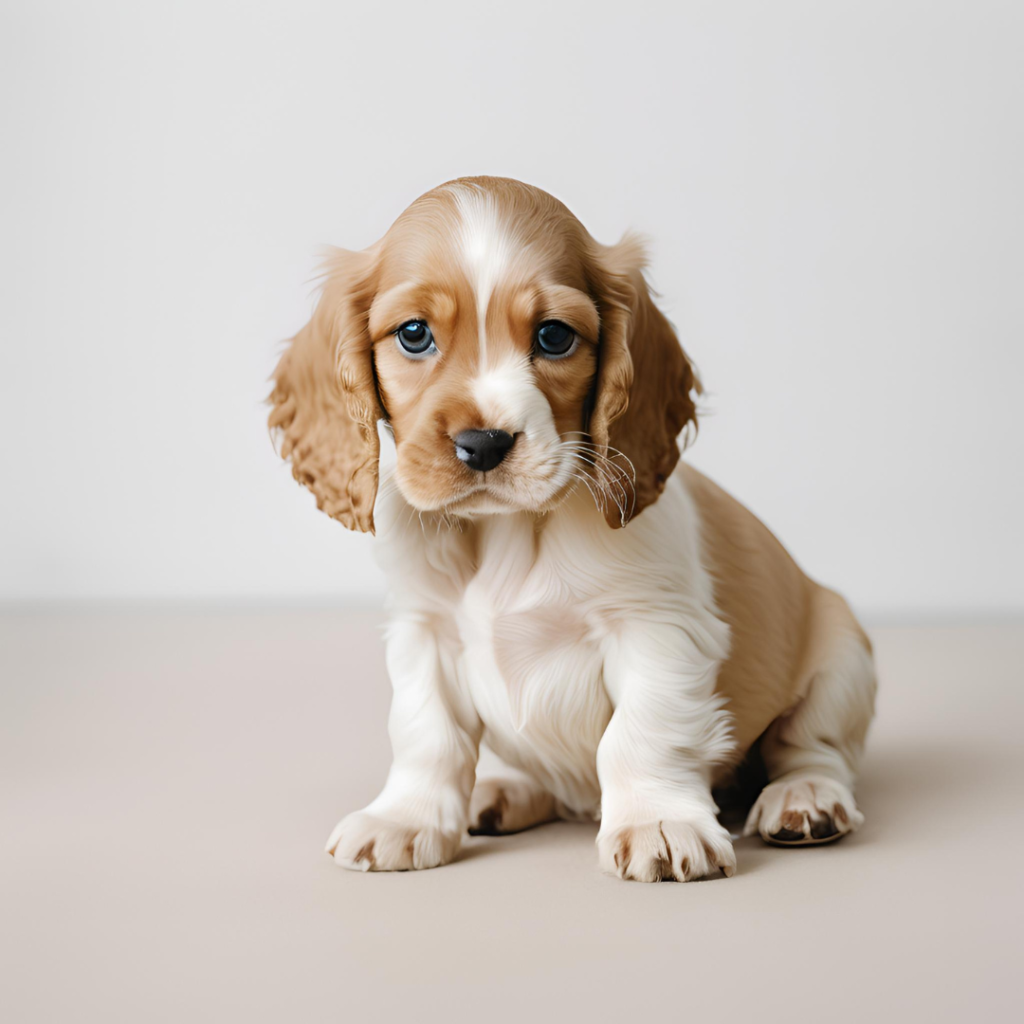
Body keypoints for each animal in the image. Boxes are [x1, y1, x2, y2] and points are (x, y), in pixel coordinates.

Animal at [268, 176, 876, 880]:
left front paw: (659, 823)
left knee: (814, 748)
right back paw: (505, 790)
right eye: (414, 335)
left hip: (840, 659)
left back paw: (806, 799)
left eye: (554, 336)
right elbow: (427, 734)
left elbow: (641, 734)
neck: (506, 531)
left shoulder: (656, 627)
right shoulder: (422, 630)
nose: (483, 444)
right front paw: (405, 819)